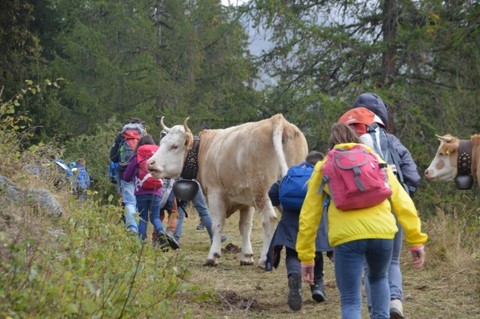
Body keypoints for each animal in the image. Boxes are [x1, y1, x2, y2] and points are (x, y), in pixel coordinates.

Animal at [148, 115, 310, 268]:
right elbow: (245, 227)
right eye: (162, 143)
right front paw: (247, 256)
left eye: (174, 146)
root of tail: (276, 120)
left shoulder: (215, 194)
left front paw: (213, 256)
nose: (150, 163)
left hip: (261, 191)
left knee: (269, 219)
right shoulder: (246, 201)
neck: (204, 150)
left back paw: (264, 259)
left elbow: (217, 224)